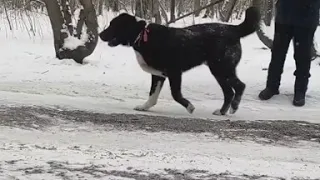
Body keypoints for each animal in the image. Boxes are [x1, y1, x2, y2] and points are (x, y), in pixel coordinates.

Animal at [100, 7, 260, 115]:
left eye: (113, 25)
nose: (100, 34)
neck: (143, 34)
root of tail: (234, 29)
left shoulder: (175, 72)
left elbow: (175, 94)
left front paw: (190, 107)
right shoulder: (158, 75)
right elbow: (152, 95)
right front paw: (145, 107)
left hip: (222, 68)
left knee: (240, 86)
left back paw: (233, 108)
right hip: (218, 72)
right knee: (229, 92)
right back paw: (222, 111)